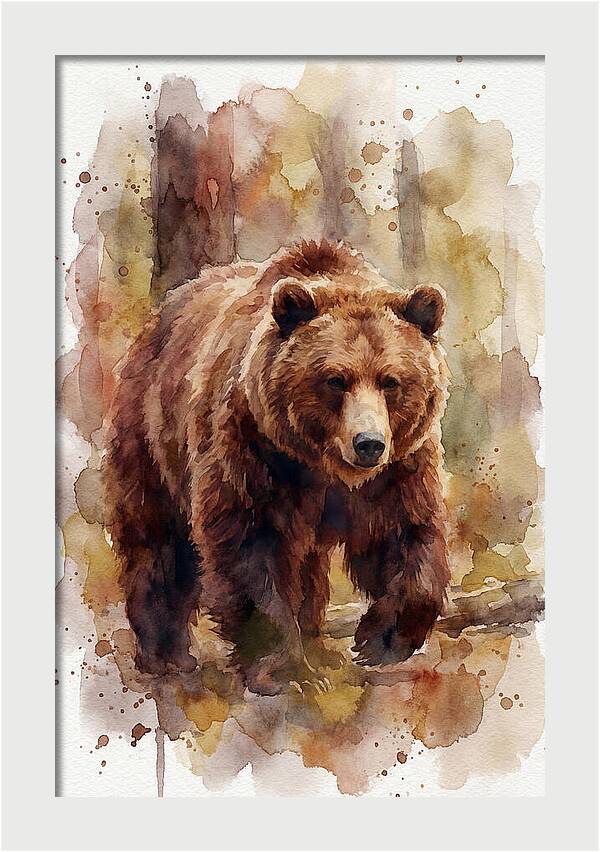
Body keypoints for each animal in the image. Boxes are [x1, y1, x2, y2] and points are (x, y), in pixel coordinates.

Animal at [104, 240, 450, 694]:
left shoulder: (397, 467)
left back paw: (318, 644)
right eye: (335, 379)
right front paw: (281, 668)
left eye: (390, 380)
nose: (368, 443)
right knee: (158, 540)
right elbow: (251, 544)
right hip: (151, 432)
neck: (322, 464)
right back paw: (166, 655)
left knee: (309, 566)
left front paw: (380, 639)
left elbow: (405, 532)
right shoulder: (253, 447)